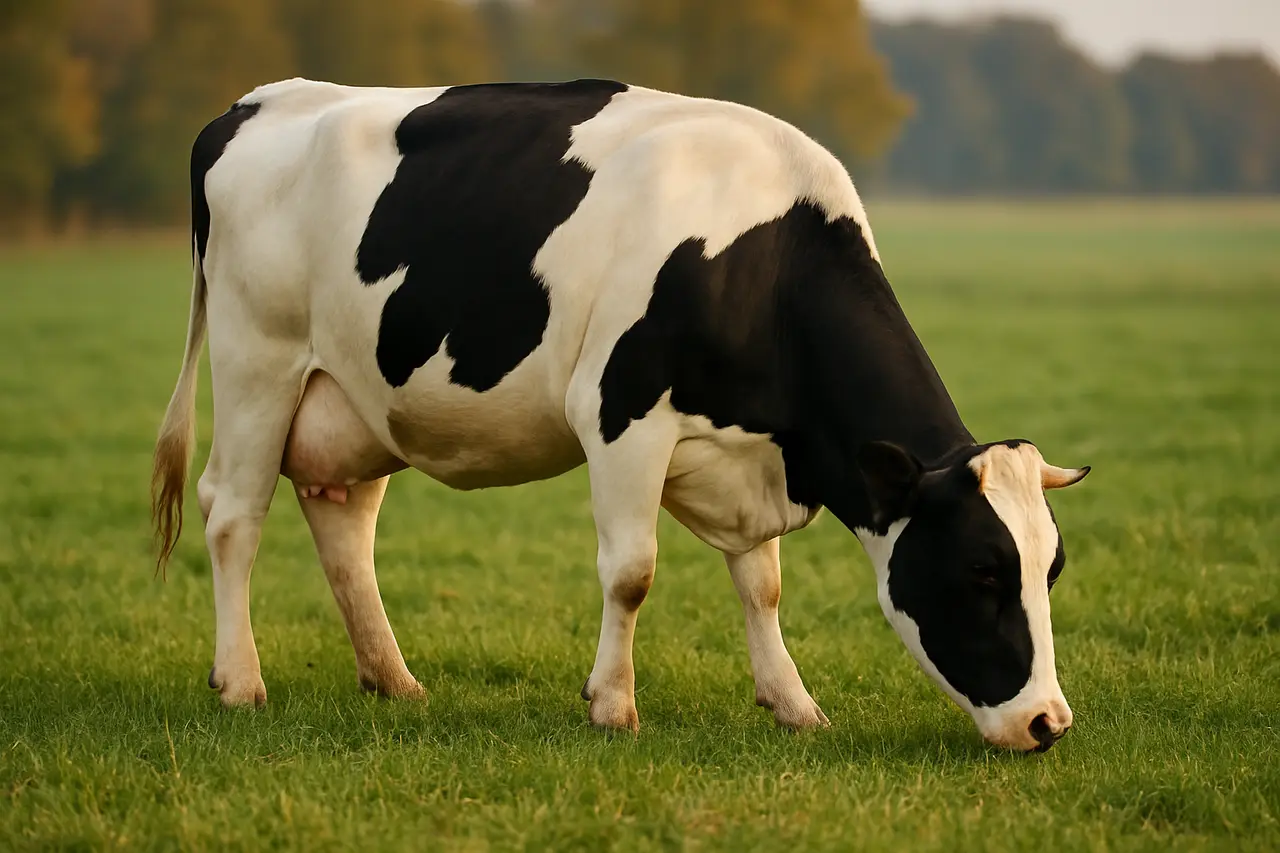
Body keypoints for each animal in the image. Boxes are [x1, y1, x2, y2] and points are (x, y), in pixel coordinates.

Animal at [152, 77, 1090, 752]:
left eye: (1051, 568)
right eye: (980, 570)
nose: (1048, 722)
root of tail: (254, 102)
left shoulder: (749, 454)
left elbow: (762, 582)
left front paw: (791, 701)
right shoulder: (620, 414)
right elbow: (632, 571)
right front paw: (611, 703)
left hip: (353, 397)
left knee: (343, 526)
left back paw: (394, 679)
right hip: (256, 360)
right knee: (233, 512)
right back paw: (241, 681)